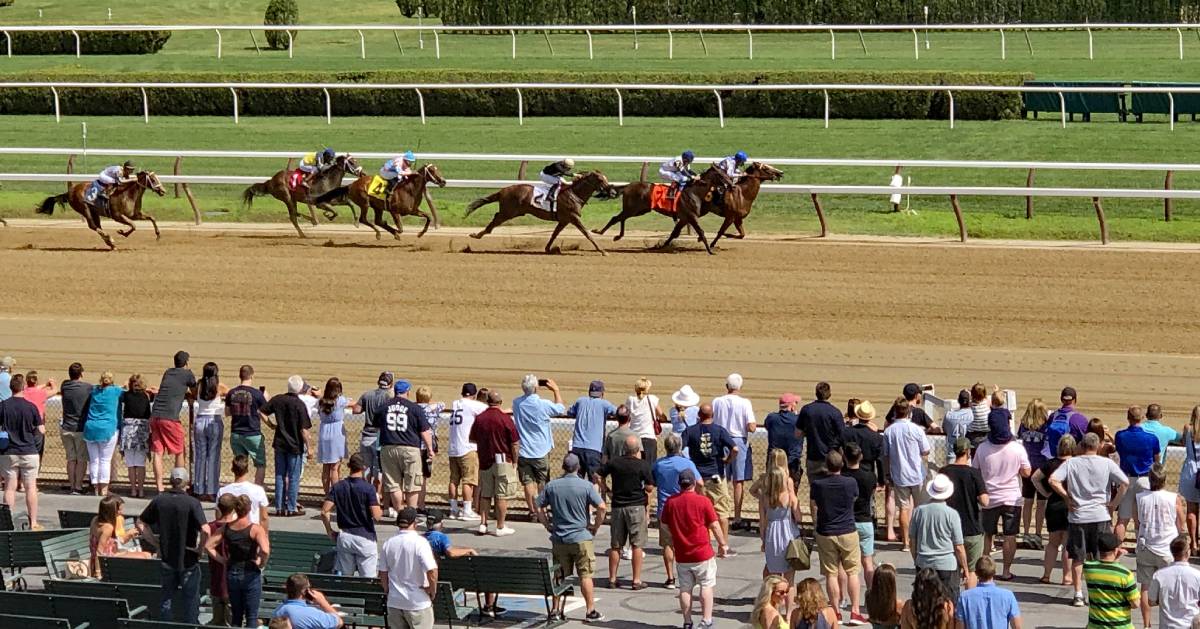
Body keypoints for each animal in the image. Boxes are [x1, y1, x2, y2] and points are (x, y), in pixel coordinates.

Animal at [36, 171, 166, 253]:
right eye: (153, 179)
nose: (163, 191)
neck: (128, 193)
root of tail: (70, 192)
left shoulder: (134, 214)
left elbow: (152, 218)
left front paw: (158, 235)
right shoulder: (117, 215)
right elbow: (133, 226)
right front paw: (122, 232)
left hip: (94, 211)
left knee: (97, 226)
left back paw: (111, 244)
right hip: (84, 208)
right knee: (92, 226)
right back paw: (110, 240)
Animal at [314, 163, 451, 240]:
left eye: (437, 169)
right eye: (432, 171)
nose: (443, 181)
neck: (409, 189)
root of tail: (350, 185)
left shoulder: (413, 210)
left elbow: (428, 217)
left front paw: (420, 234)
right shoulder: (394, 211)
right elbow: (400, 228)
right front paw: (396, 232)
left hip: (377, 207)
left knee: (377, 220)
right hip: (365, 203)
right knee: (364, 219)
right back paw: (379, 234)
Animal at [463, 169, 614, 255]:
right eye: (600, 179)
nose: (612, 192)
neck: (574, 193)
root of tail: (502, 190)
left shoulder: (564, 219)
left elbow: (554, 234)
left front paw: (549, 248)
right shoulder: (573, 217)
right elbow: (587, 234)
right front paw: (602, 251)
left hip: (512, 211)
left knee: (495, 218)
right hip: (509, 212)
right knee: (495, 220)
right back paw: (477, 235)